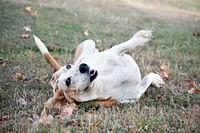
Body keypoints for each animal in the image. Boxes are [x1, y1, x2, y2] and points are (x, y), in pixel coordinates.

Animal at [33, 29, 164, 106]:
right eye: (68, 81)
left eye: (69, 66)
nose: (83, 67)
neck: (103, 79)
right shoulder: (136, 92)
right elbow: (147, 79)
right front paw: (156, 80)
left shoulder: (114, 51)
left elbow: (124, 45)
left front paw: (143, 36)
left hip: (89, 42)